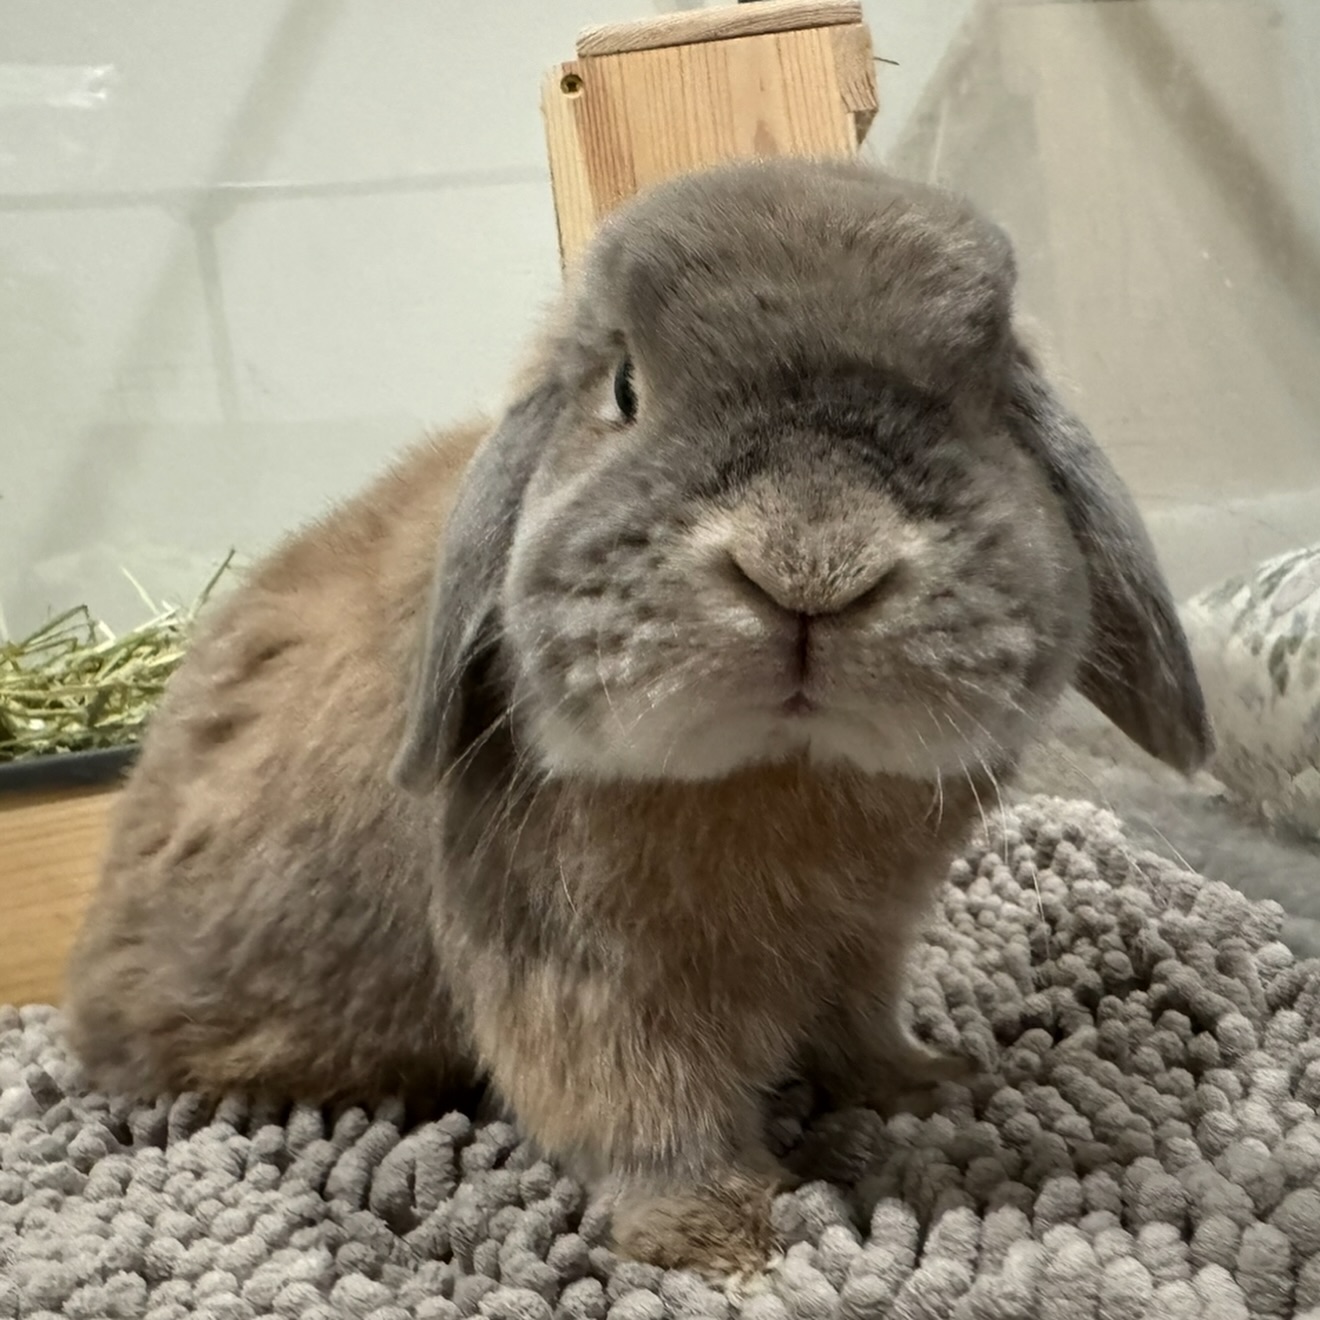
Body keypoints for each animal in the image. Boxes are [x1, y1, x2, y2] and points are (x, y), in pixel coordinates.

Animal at [64, 155, 1211, 1276]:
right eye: (624, 387)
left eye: (985, 398)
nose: (811, 567)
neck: (780, 770)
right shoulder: (581, 973)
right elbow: (640, 1104)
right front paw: (724, 1237)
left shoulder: (865, 941)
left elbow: (858, 1028)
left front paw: (932, 1080)